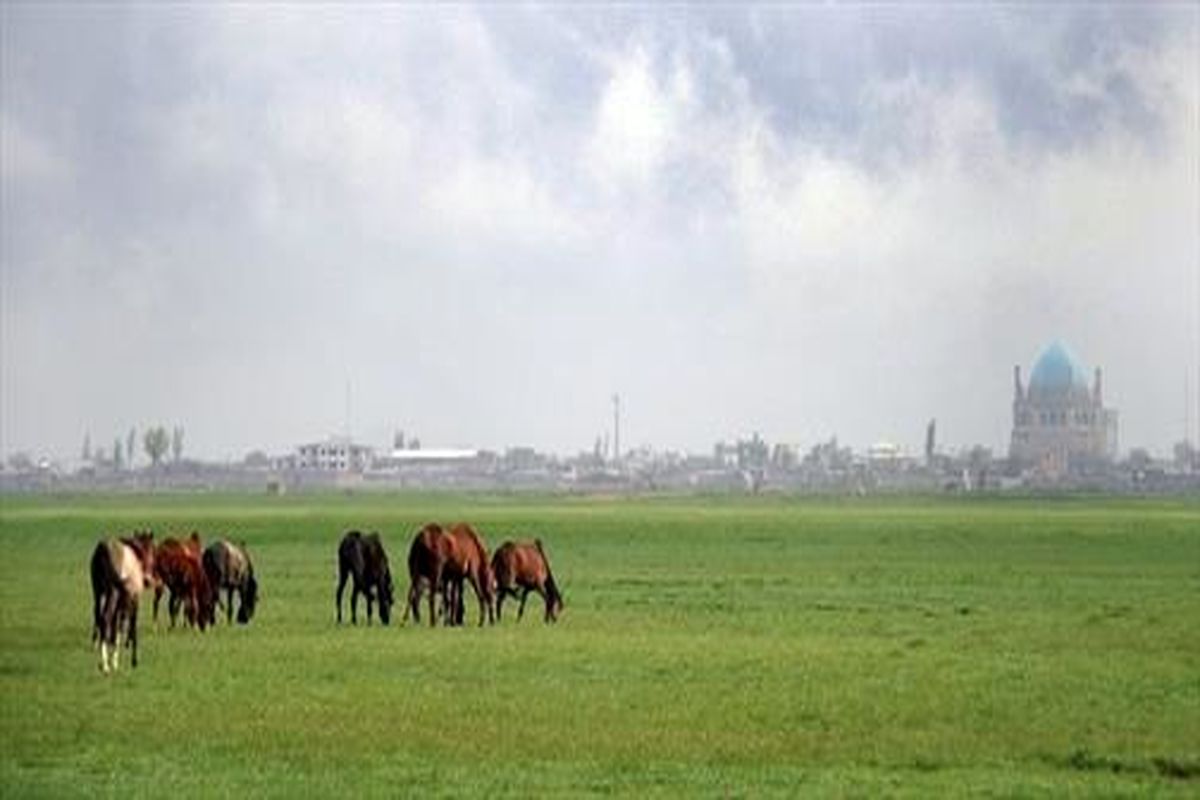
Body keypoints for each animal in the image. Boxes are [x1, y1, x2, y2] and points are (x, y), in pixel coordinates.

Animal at [90, 532, 156, 676]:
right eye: (152, 550)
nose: (148, 580)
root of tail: (103, 549)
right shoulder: (134, 599)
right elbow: (131, 625)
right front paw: (133, 660)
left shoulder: (121, 603)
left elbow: (116, 628)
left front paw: (115, 659)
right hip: (112, 594)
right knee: (105, 618)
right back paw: (105, 666)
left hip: (98, 593)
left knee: (98, 617)